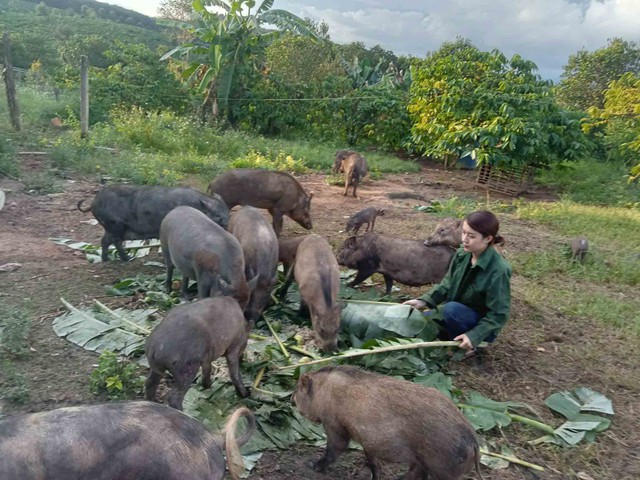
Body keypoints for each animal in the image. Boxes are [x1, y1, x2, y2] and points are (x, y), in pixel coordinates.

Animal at [292, 366, 482, 478]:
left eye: (298, 388)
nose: (291, 398)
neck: (324, 392)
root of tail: (474, 442)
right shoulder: (369, 441)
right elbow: (373, 463)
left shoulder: (334, 424)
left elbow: (335, 448)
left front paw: (313, 466)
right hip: (423, 463)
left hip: (442, 470)